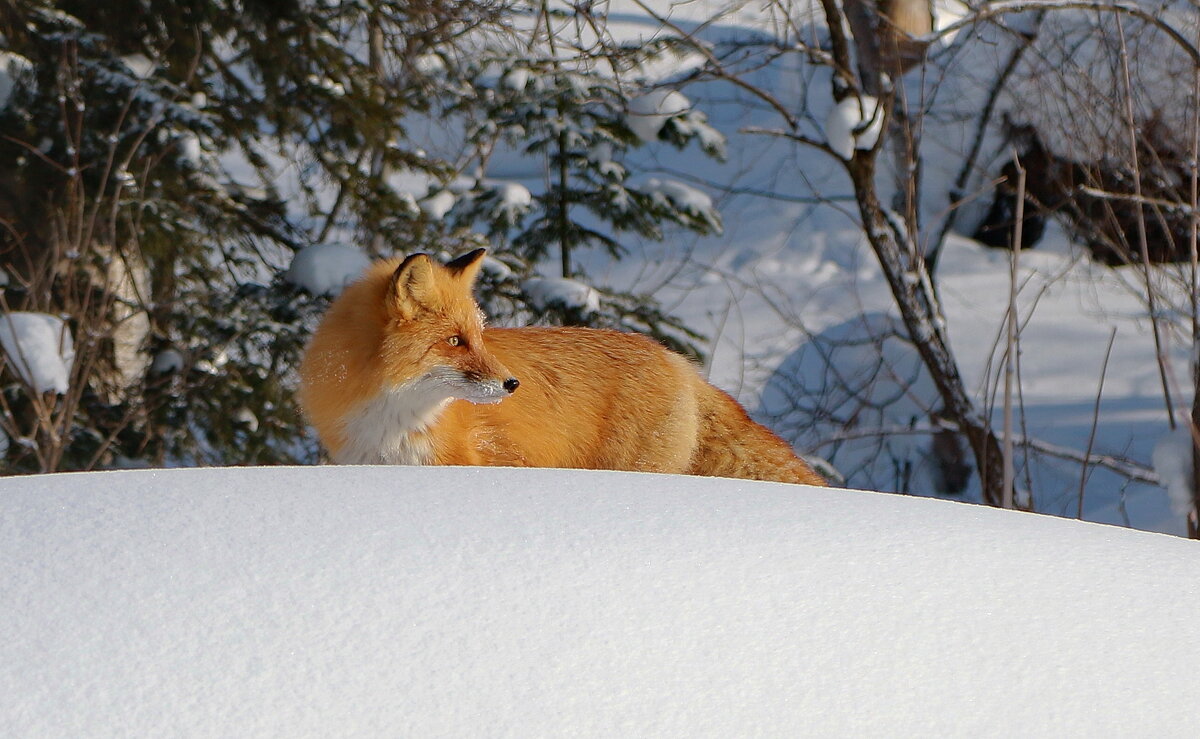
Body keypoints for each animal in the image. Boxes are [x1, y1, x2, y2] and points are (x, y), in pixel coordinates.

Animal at [300, 248, 825, 487]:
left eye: (478, 336)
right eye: (454, 341)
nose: (512, 383)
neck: (390, 423)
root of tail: (677, 360)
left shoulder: (500, 459)